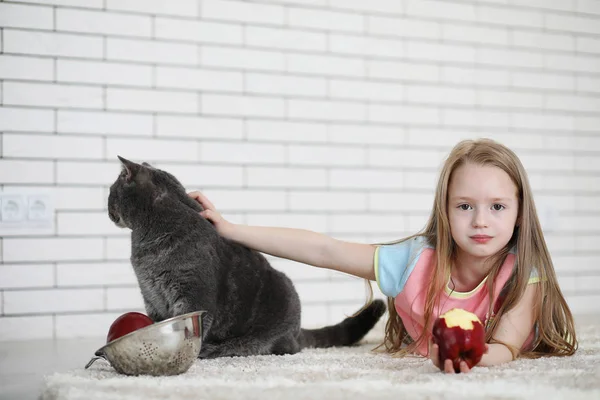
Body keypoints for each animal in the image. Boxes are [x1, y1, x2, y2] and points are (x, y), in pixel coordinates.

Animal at [108, 157, 384, 360]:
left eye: (111, 192)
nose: (108, 208)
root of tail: (297, 329)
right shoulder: (150, 294)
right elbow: (156, 322)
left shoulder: (193, 292)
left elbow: (192, 326)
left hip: (282, 301)